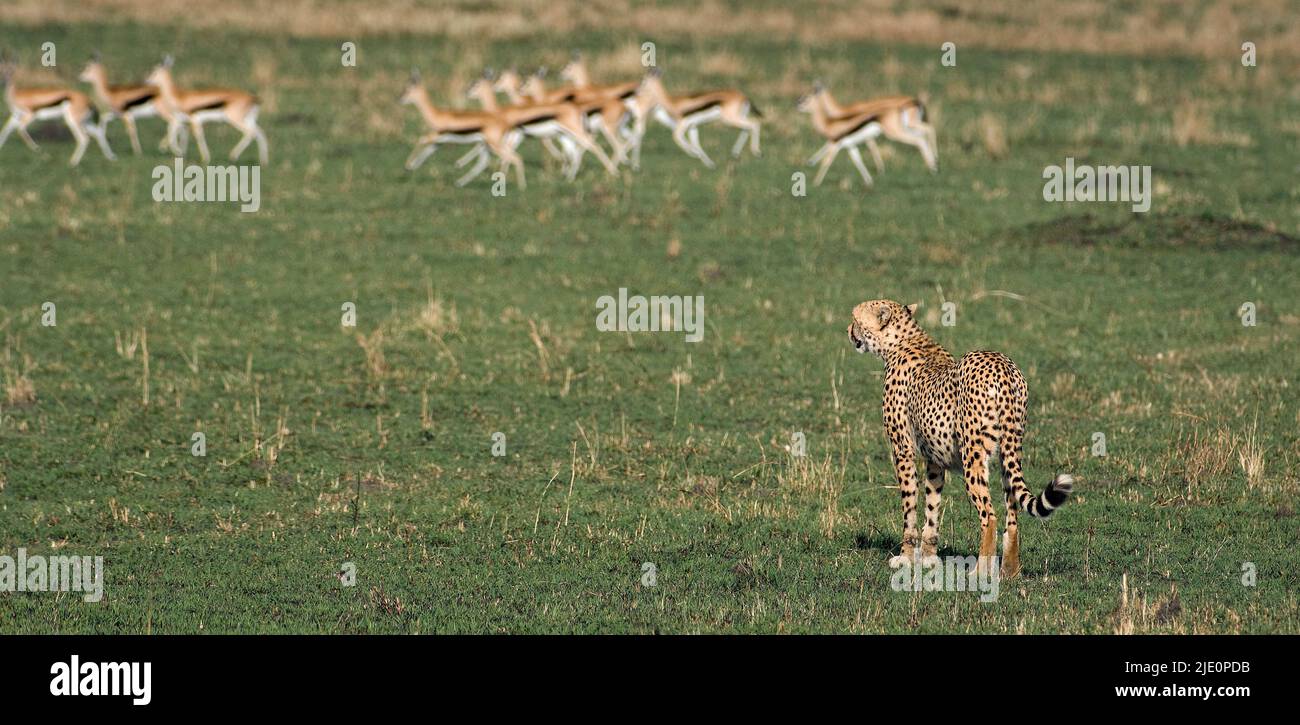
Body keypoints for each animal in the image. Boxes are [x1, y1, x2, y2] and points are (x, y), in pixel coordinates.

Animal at [847, 299, 1073, 579]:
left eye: (855, 318)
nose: (849, 331)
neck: (902, 340)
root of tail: (1002, 366)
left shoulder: (903, 451)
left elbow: (909, 509)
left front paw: (906, 558)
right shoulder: (934, 459)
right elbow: (932, 507)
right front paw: (929, 558)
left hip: (973, 456)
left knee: (990, 515)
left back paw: (981, 572)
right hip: (1008, 453)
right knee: (1012, 514)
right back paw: (1010, 570)